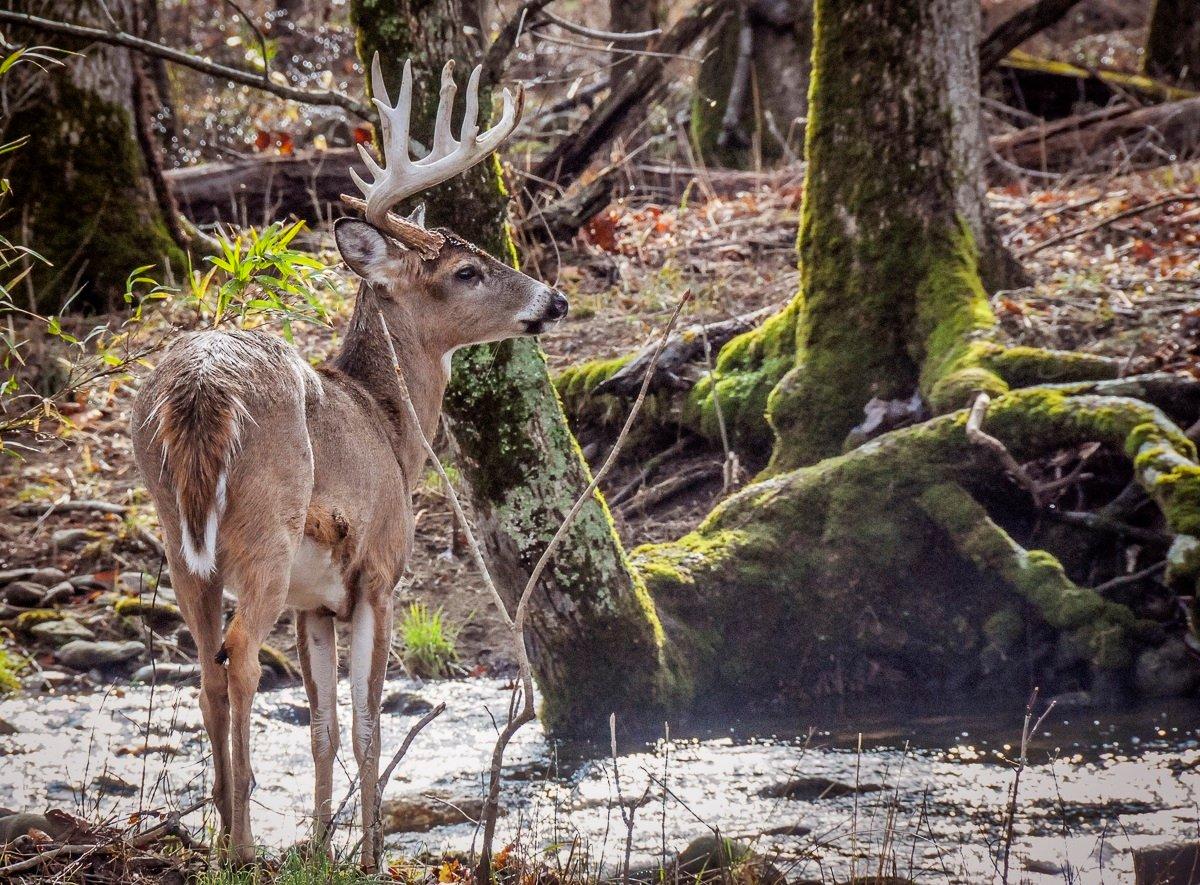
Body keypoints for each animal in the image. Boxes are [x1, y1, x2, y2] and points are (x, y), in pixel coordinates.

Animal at [131, 56, 566, 868]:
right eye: (467, 270)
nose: (553, 299)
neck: (393, 429)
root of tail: (197, 390)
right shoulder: (379, 571)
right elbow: (367, 726)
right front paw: (366, 856)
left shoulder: (315, 602)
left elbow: (324, 730)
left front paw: (323, 850)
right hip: (265, 527)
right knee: (239, 655)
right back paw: (241, 846)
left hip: (180, 539)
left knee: (205, 667)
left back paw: (220, 835)